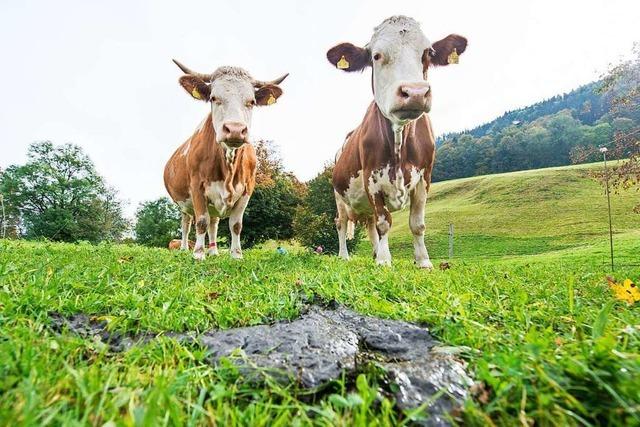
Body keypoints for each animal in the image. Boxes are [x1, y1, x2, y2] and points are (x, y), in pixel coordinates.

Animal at [164, 60, 288, 260]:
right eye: (214, 98)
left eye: (252, 101)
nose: (235, 129)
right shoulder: (197, 186)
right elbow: (201, 221)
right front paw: (198, 254)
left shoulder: (247, 189)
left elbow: (235, 225)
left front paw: (236, 254)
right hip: (183, 203)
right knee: (187, 223)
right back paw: (184, 248)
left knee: (213, 223)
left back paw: (214, 250)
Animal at [328, 17, 468, 270]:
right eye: (376, 55)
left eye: (428, 52)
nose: (415, 92)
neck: (399, 138)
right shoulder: (372, 179)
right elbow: (385, 222)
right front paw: (385, 260)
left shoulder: (425, 177)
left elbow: (417, 223)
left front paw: (423, 260)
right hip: (339, 196)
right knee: (342, 223)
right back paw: (345, 256)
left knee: (370, 225)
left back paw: (375, 252)